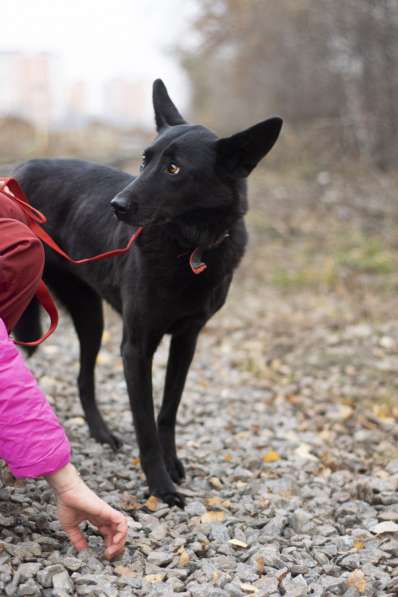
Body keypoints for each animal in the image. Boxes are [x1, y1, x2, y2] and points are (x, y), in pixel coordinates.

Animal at [14, 79, 282, 506]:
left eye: (174, 169)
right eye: (144, 161)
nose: (117, 205)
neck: (189, 248)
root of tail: (15, 171)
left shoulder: (187, 339)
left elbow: (167, 411)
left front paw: (172, 464)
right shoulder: (136, 347)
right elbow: (144, 424)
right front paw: (160, 485)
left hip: (91, 314)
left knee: (84, 377)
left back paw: (102, 434)